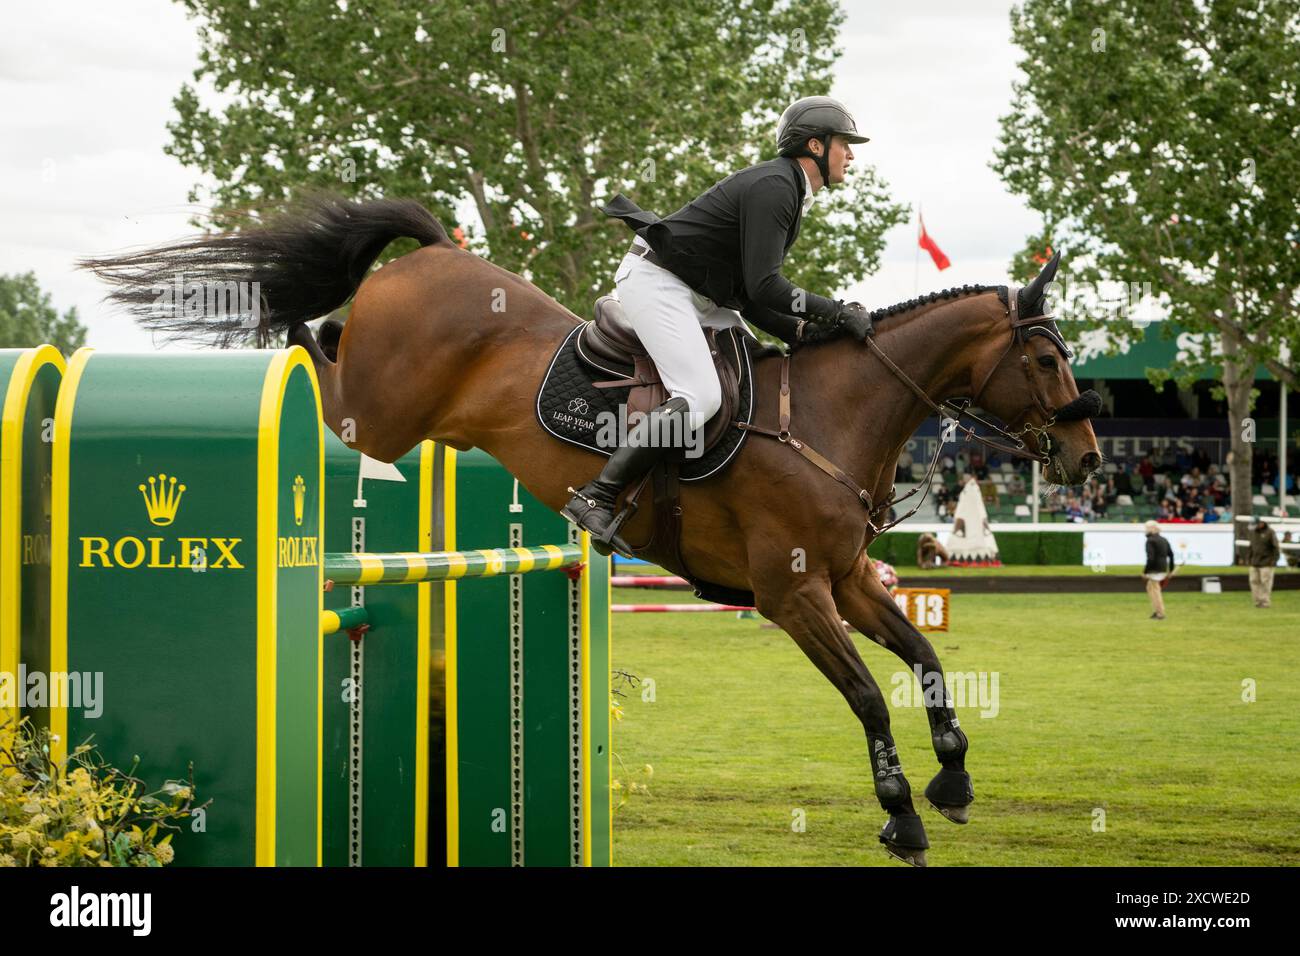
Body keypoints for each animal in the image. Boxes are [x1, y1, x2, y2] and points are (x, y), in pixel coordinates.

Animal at [81, 196, 1097, 868]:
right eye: (1048, 360)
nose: (1087, 459)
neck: (831, 420)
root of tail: (435, 253)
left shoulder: (847, 581)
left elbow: (925, 661)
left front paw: (952, 785)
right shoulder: (794, 594)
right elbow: (868, 698)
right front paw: (904, 818)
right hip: (373, 414)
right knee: (317, 366)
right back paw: (279, 347)